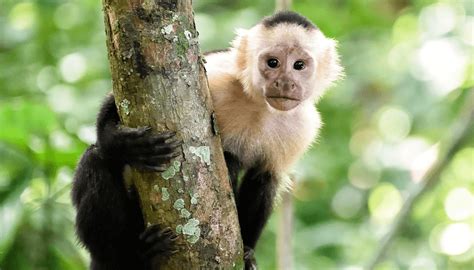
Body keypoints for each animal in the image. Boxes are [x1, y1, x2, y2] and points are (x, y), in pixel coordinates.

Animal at [71, 11, 340, 270]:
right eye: (273, 62)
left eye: (299, 65)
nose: (284, 82)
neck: (260, 106)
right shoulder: (219, 74)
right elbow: (116, 101)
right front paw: (125, 143)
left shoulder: (303, 127)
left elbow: (264, 178)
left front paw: (248, 254)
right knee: (96, 160)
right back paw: (131, 256)